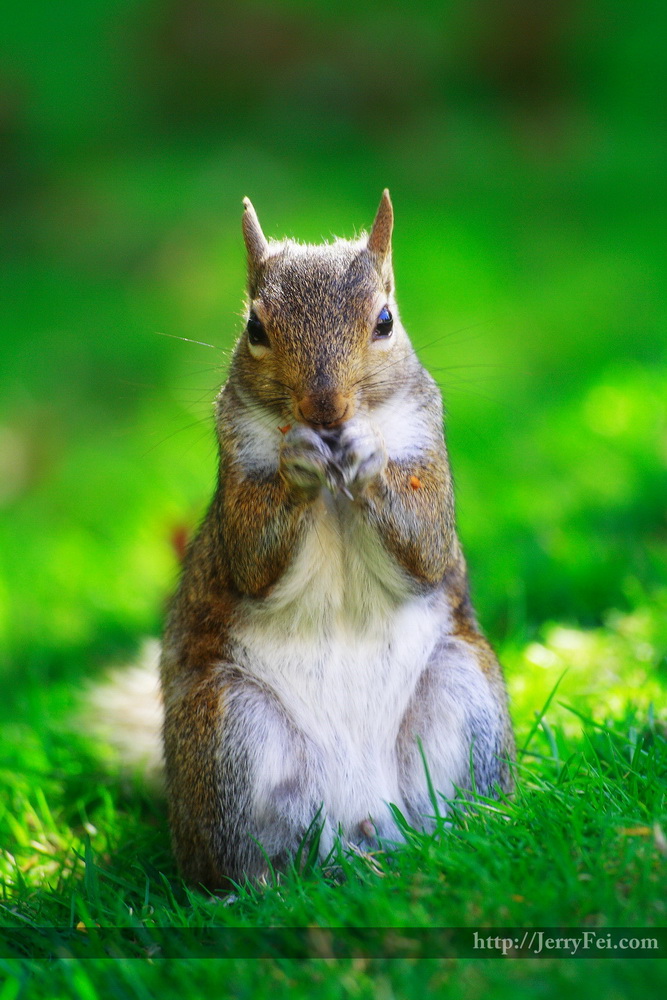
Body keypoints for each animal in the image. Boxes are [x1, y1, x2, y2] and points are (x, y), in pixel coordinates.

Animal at [157, 190, 514, 891]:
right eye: (255, 329)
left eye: (385, 320)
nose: (325, 410)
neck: (334, 481)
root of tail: (365, 824)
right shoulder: (238, 469)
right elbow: (249, 556)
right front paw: (296, 459)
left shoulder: (424, 447)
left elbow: (427, 547)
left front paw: (369, 453)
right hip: (227, 731)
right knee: (250, 857)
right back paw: (262, 886)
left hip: (463, 690)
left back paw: (464, 833)